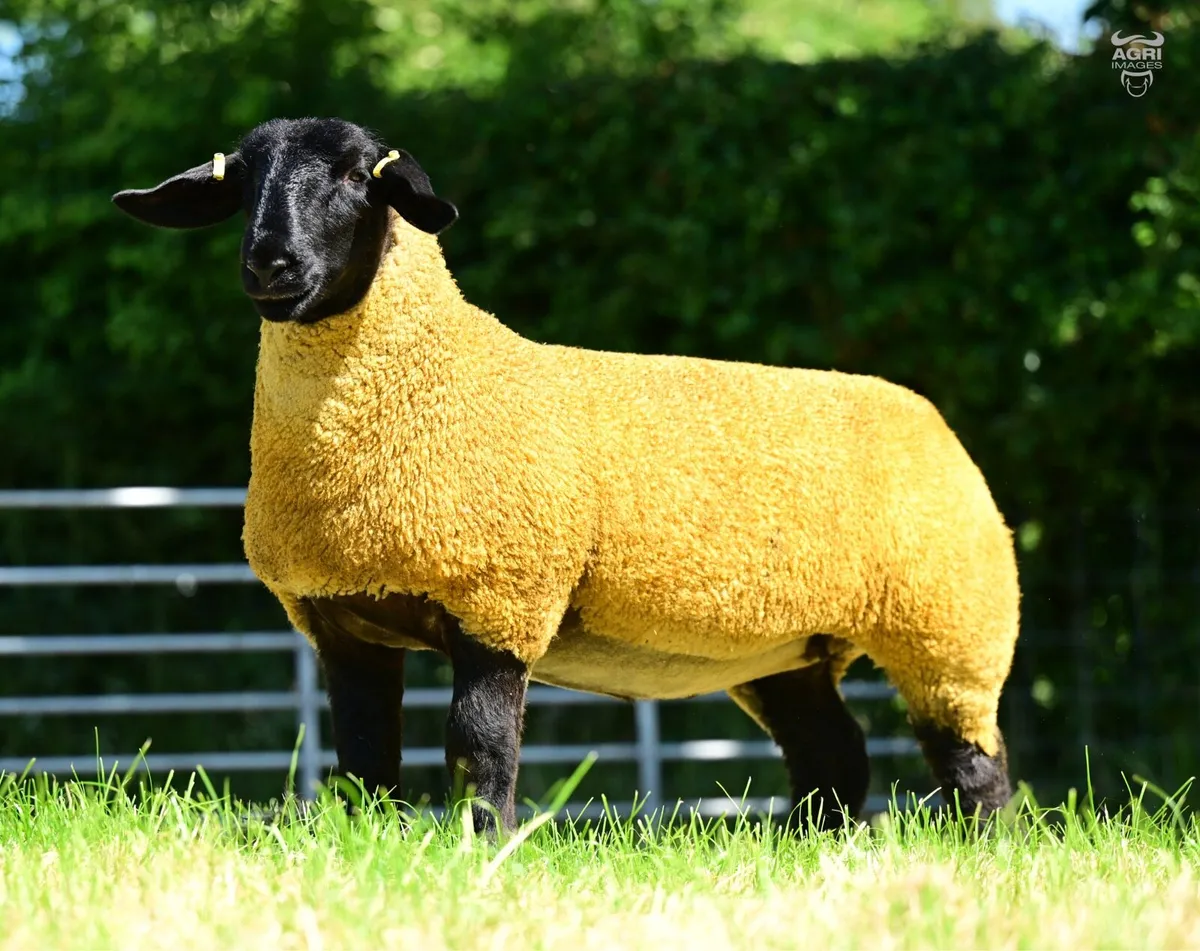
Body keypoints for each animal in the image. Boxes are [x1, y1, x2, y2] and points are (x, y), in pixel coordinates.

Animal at [113, 116, 1020, 835]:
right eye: (242, 181)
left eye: (353, 175)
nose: (269, 265)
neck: (434, 373)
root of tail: (933, 419)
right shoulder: (346, 621)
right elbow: (366, 760)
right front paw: (371, 843)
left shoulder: (500, 596)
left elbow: (479, 746)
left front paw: (484, 843)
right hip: (794, 646)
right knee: (834, 754)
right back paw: (805, 850)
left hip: (950, 625)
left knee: (973, 764)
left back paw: (982, 851)